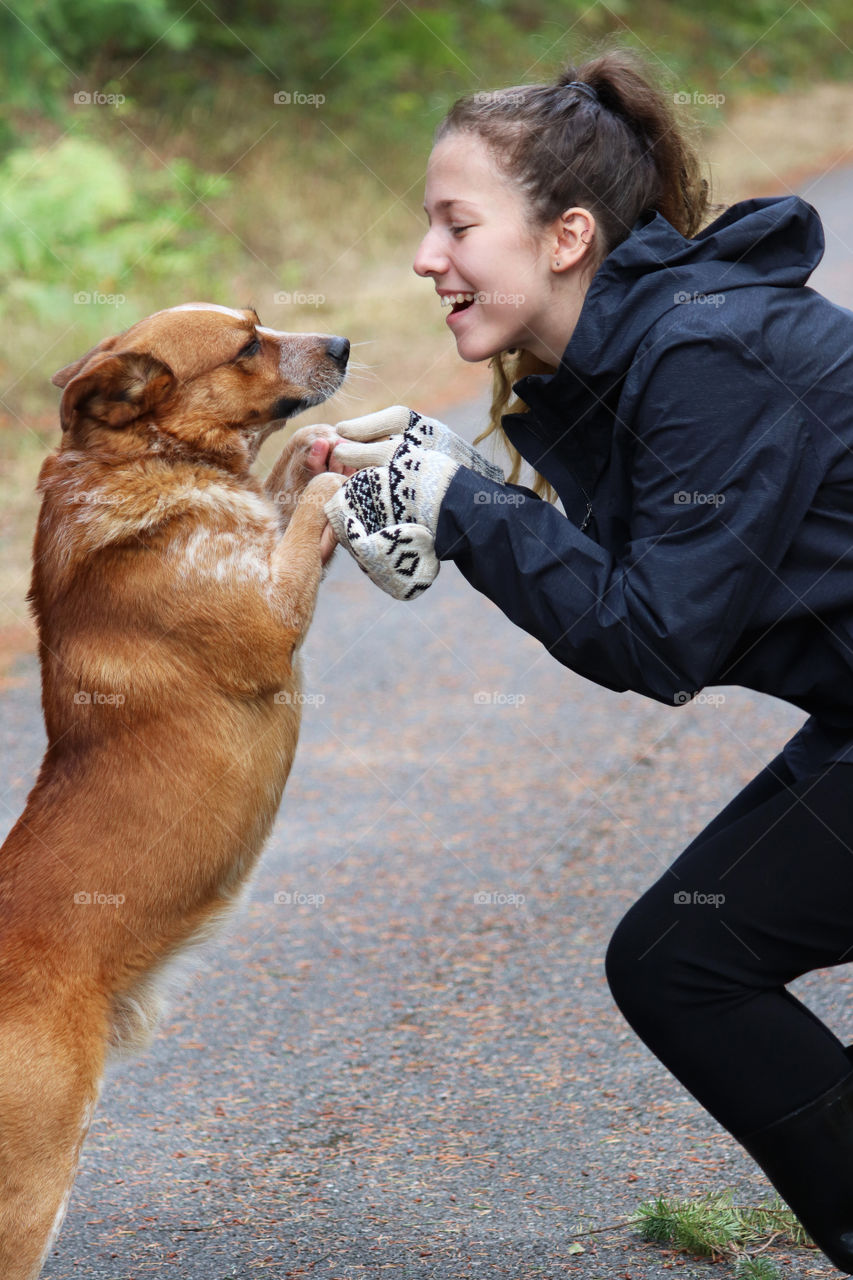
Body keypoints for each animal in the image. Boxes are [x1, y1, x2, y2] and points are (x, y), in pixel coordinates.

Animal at [0, 304, 348, 1274]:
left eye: (257, 323)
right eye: (247, 345)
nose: (343, 345)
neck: (149, 460)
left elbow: (287, 478)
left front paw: (317, 452)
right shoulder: (272, 620)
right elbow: (309, 506)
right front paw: (337, 471)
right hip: (34, 1180)